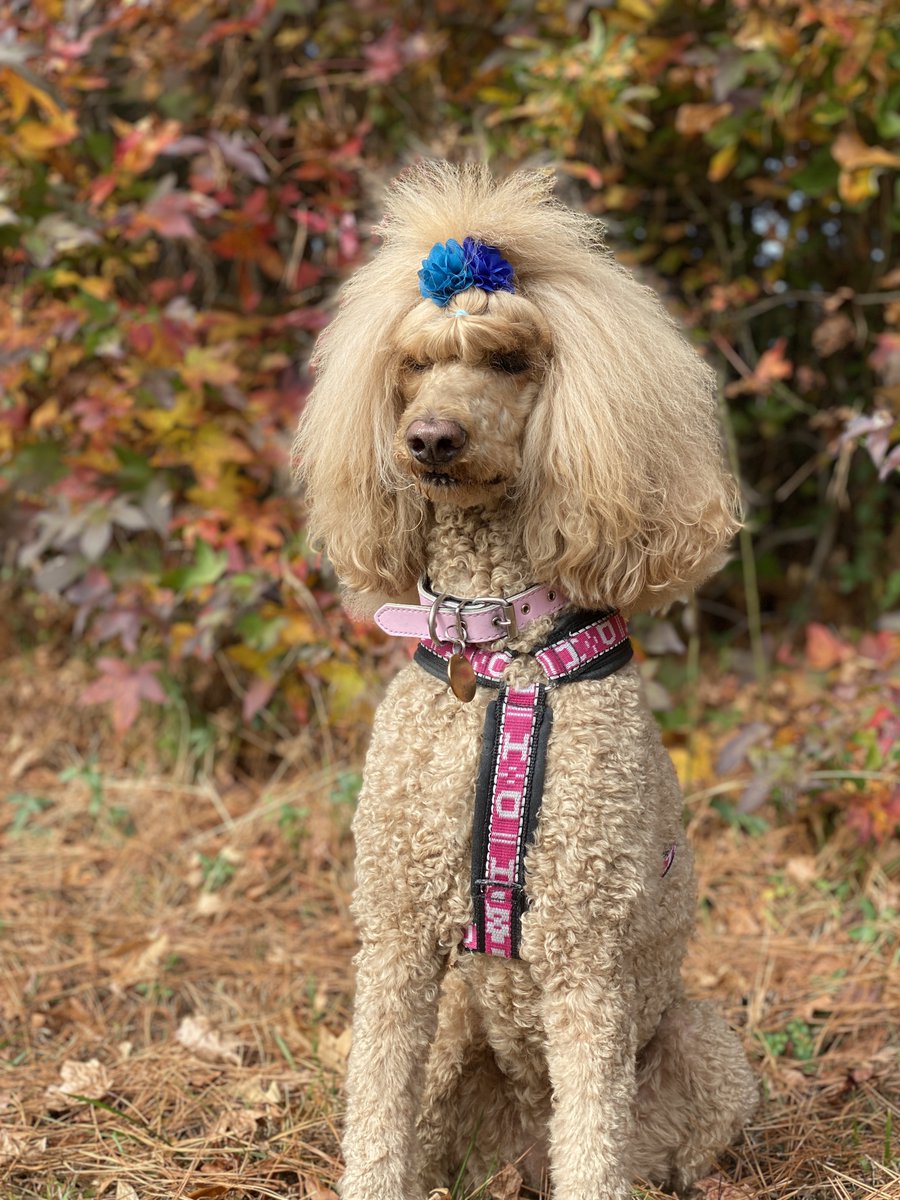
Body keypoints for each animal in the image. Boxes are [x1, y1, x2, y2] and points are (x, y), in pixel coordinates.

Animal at [297, 162, 763, 1200]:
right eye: (411, 366)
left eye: (511, 360)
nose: (429, 439)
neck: (496, 649)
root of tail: (521, 1149)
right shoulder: (394, 940)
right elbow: (373, 1117)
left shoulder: (587, 960)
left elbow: (596, 1141)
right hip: (457, 1036)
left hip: (703, 1043)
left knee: (641, 1147)